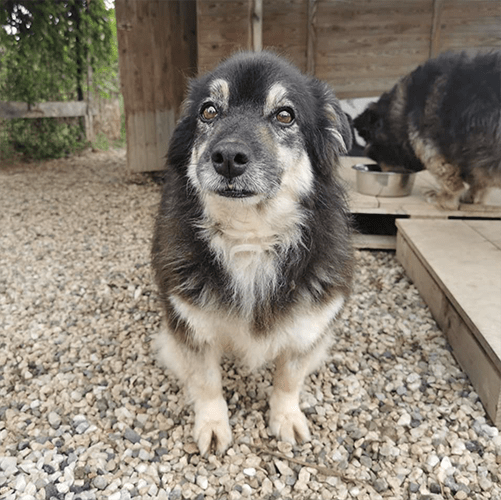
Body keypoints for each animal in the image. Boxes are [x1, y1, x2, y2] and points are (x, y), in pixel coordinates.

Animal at [352, 52, 500, 211]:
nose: (385, 173)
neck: (405, 111)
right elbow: (479, 180)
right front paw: (472, 196)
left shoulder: (430, 147)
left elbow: (449, 178)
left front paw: (444, 199)